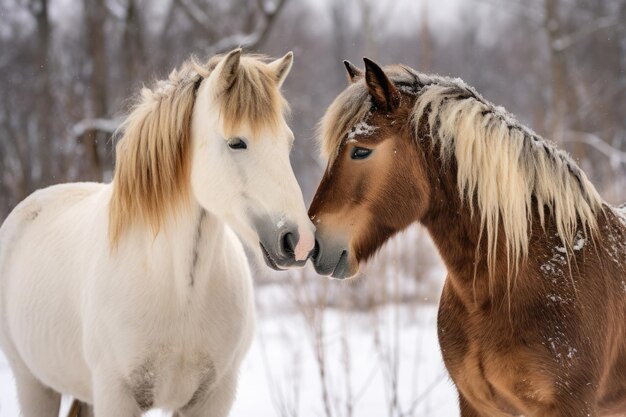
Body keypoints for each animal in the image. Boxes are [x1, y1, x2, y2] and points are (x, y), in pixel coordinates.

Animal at [0, 49, 314, 416]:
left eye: (287, 142)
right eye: (237, 142)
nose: (300, 242)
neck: (181, 292)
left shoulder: (212, 398)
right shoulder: (116, 396)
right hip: (35, 386)